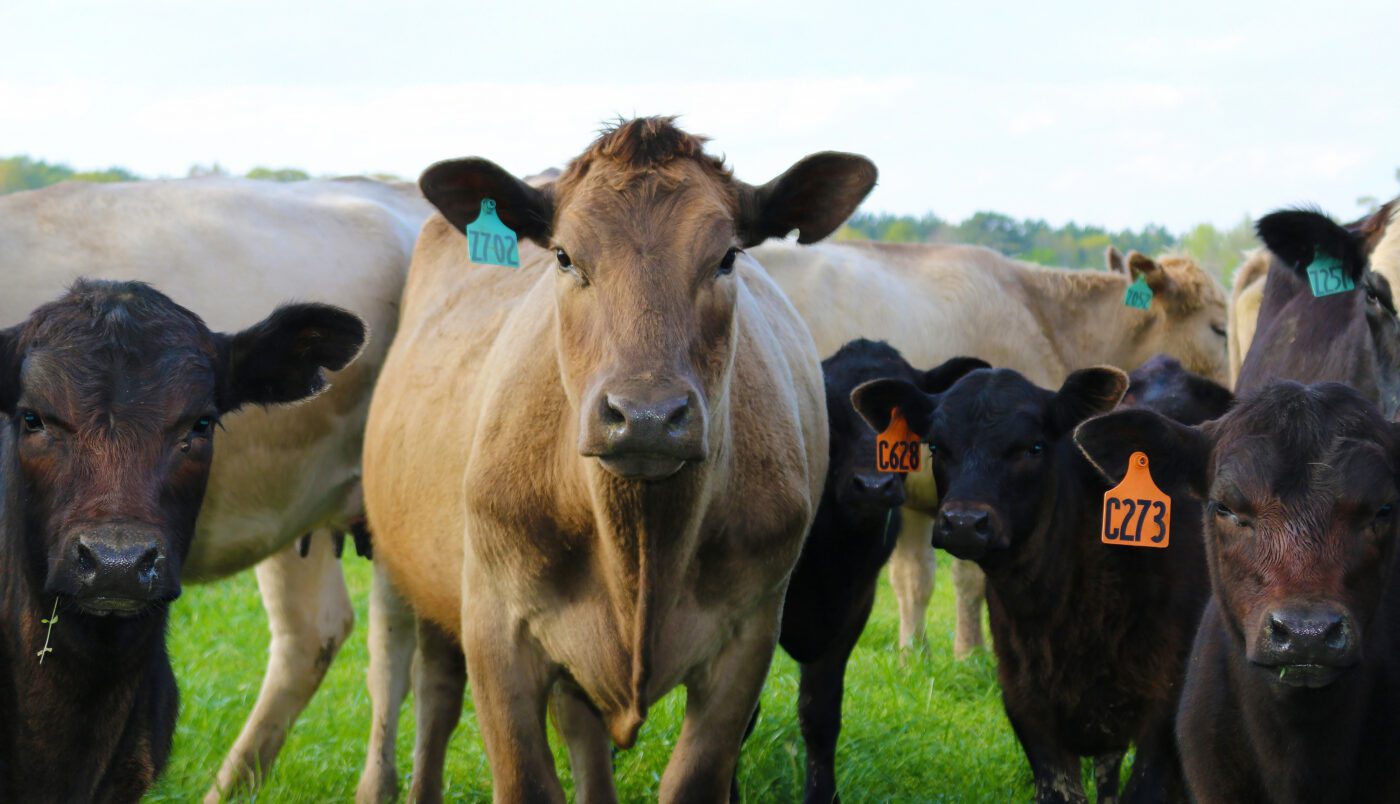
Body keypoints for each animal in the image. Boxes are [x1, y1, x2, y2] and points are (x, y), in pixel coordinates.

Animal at [361, 117, 875, 801]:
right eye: (563, 256)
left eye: (728, 257)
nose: (647, 415)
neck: (641, 546)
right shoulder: (495, 629)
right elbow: (523, 780)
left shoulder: (749, 634)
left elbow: (692, 780)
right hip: (406, 568)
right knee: (422, 692)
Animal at [755, 239, 1229, 658]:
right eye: (1219, 328)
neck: (1043, 318)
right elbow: (967, 578)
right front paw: (970, 653)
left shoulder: (915, 495)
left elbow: (913, 578)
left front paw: (913, 654)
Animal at [756, 340, 986, 803]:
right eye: (828, 413)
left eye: (909, 426)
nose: (875, 486)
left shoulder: (853, 610)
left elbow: (821, 714)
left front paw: (823, 795)